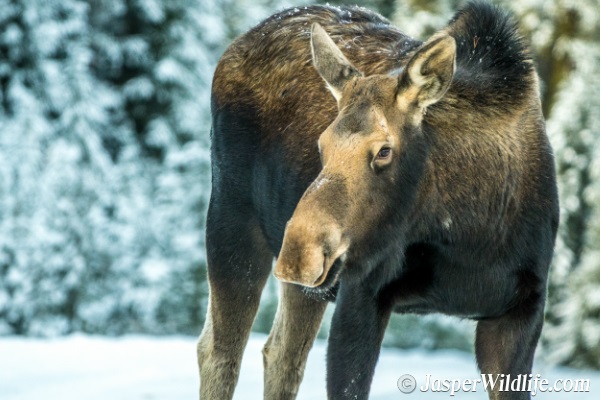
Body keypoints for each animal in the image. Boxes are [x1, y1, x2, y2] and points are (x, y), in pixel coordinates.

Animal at [199, 1, 560, 398]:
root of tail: (235, 47)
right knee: (219, 352)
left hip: (306, 286)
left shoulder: (521, 311)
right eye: (322, 145)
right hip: (231, 219)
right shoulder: (363, 292)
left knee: (281, 355)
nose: (297, 252)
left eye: (384, 151)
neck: (470, 237)